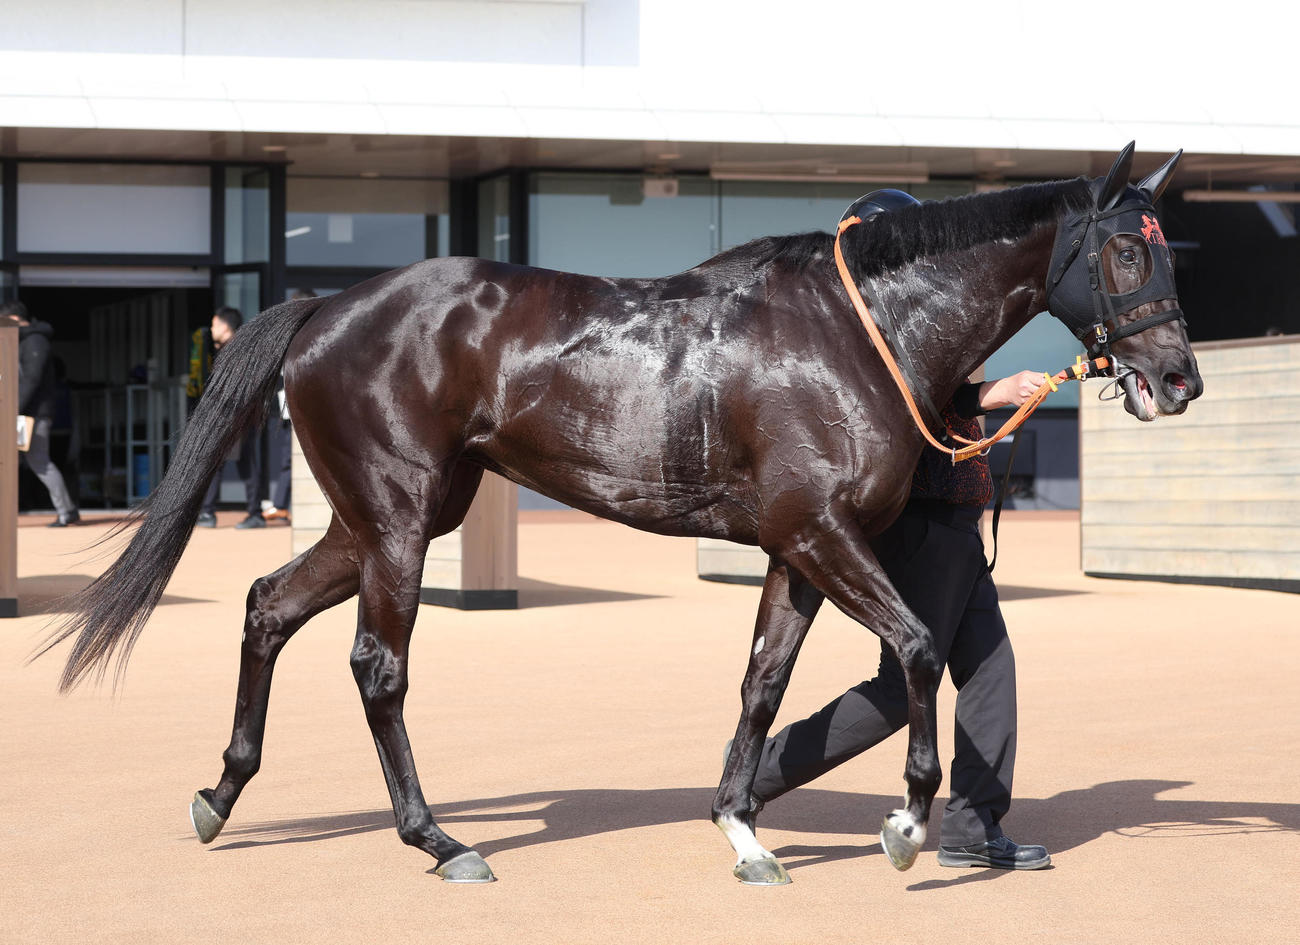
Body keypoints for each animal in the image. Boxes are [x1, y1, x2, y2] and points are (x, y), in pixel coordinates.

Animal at [41, 143, 1203, 885]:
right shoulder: (825, 535)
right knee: (378, 668)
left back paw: (221, 794)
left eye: (1166, 246)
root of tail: (328, 304)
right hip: (400, 522)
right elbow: (918, 648)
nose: (1179, 380)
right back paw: (439, 840)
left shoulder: (794, 549)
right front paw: (908, 821)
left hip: (372, 523)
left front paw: (744, 830)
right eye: (1127, 252)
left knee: (267, 607)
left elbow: (764, 681)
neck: (855, 332)